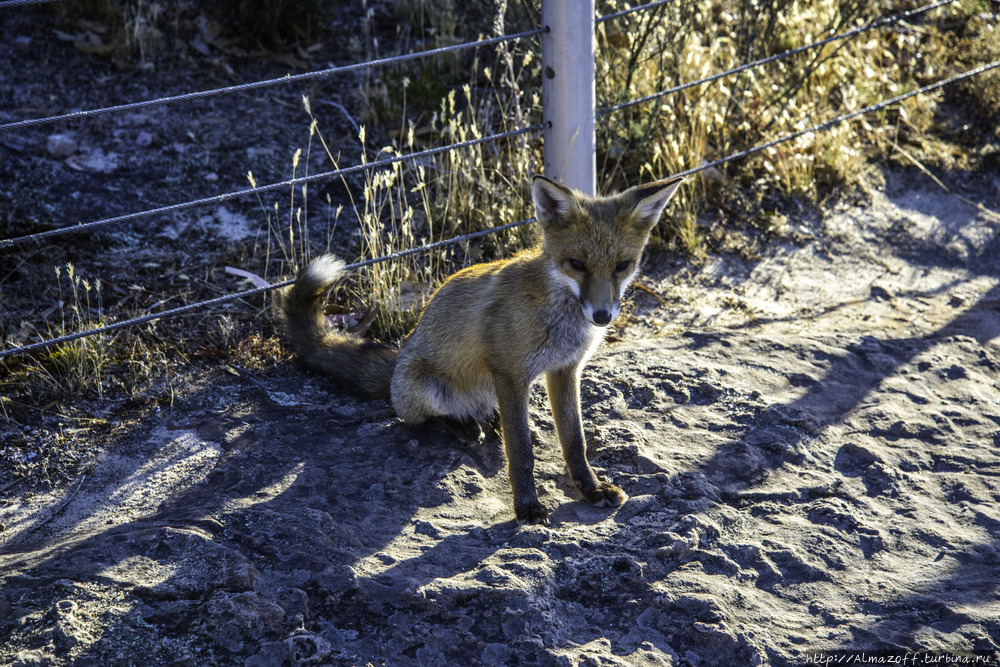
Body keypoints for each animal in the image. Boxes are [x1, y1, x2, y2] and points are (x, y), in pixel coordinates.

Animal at [278, 174, 684, 528]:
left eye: (622, 266)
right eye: (577, 264)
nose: (602, 316)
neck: (561, 319)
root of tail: (398, 359)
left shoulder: (564, 370)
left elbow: (574, 441)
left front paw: (591, 489)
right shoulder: (511, 373)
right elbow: (521, 453)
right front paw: (527, 506)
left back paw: (490, 421)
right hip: (426, 385)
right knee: (419, 417)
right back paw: (464, 426)